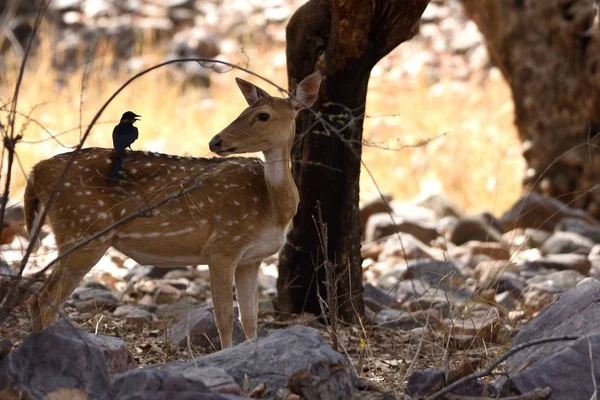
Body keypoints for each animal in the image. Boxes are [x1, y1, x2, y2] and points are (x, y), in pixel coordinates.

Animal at [25, 72, 322, 346]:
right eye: (243, 111)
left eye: (262, 115)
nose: (215, 141)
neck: (274, 209)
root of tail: (36, 171)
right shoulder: (222, 246)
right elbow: (225, 319)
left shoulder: (251, 258)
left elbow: (249, 319)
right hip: (84, 230)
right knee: (46, 301)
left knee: (36, 300)